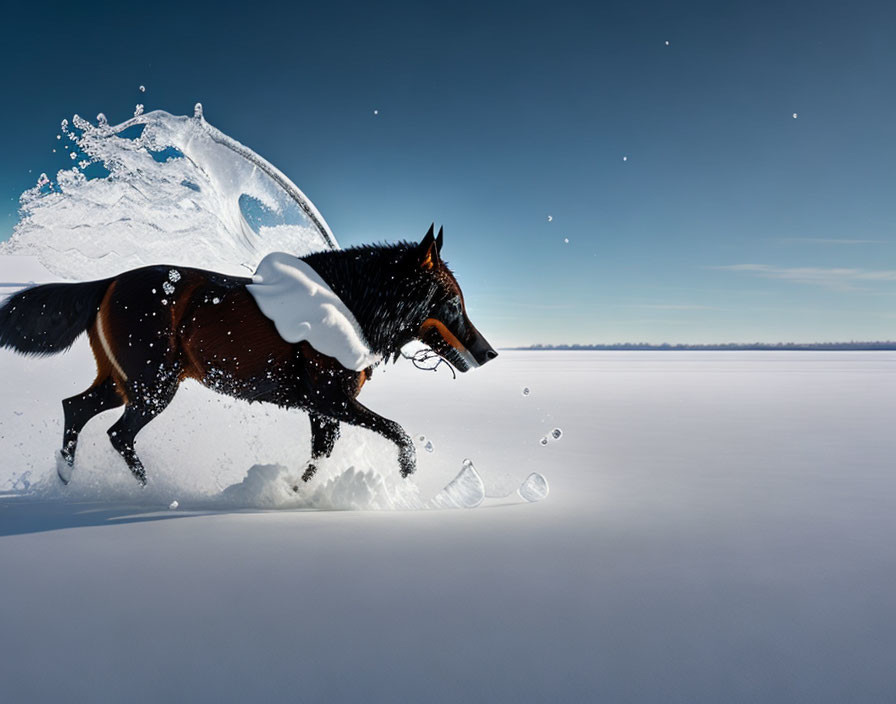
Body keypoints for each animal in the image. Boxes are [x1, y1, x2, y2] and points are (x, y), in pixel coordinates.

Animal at [0, 228, 496, 486]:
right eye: (452, 302)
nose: (488, 352)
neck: (347, 304)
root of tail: (109, 283)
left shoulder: (322, 409)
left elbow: (321, 456)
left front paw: (298, 494)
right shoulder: (331, 400)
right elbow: (398, 431)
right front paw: (407, 471)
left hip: (125, 382)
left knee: (76, 408)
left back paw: (67, 478)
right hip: (152, 386)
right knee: (118, 434)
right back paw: (148, 489)